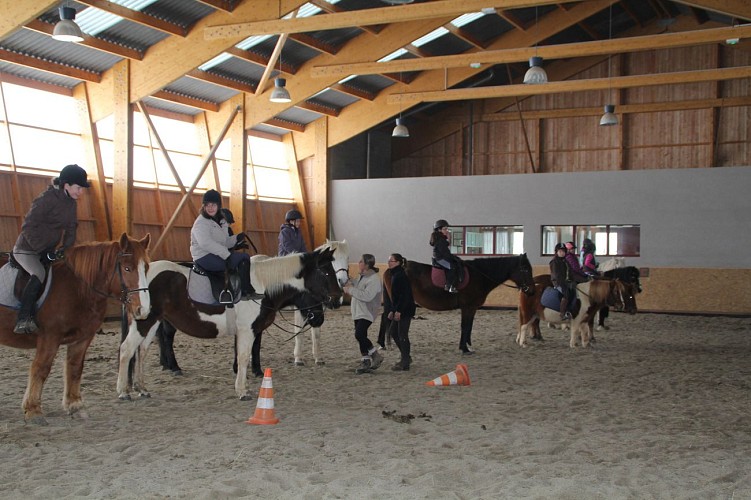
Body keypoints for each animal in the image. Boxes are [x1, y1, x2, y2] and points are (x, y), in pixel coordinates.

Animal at [0, 233, 151, 422]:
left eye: (146, 268)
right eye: (127, 268)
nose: (143, 310)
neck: (77, 287)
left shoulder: (83, 338)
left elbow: (74, 368)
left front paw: (75, 405)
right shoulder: (50, 337)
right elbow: (41, 369)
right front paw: (33, 409)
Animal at [118, 248, 344, 400]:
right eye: (325, 272)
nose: (338, 299)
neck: (261, 285)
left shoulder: (250, 330)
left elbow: (246, 354)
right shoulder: (247, 330)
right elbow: (244, 357)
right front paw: (242, 390)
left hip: (151, 322)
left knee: (142, 351)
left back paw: (141, 387)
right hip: (144, 322)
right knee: (127, 349)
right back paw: (123, 391)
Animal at [384, 254, 536, 356]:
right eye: (525, 270)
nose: (532, 291)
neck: (479, 276)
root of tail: (394, 269)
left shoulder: (472, 308)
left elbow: (469, 327)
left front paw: (468, 345)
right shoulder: (467, 307)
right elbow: (465, 326)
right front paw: (464, 348)